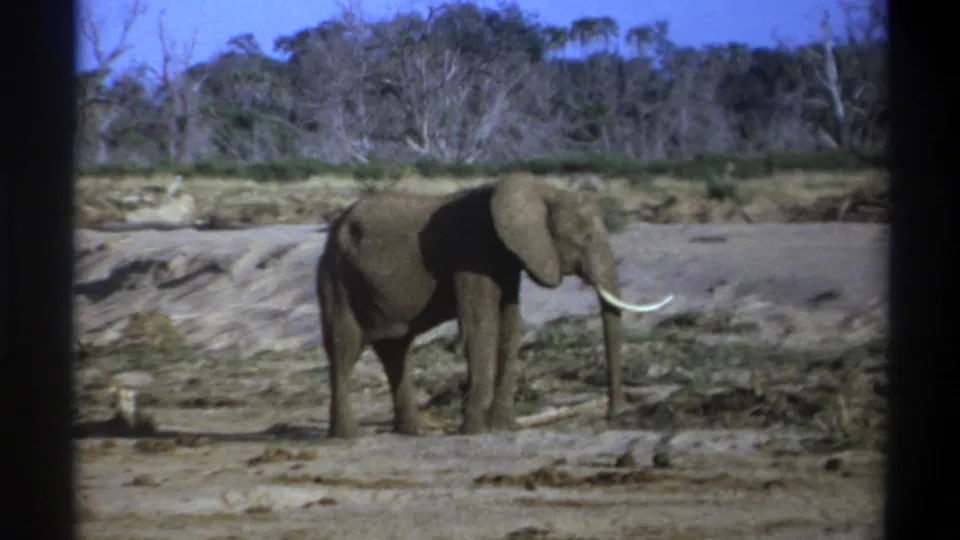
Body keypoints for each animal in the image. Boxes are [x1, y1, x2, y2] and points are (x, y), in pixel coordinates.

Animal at [315, 174, 674, 438]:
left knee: (395, 350)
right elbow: (480, 323)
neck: (542, 189)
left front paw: (504, 428)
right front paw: (474, 431)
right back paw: (347, 436)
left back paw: (412, 432)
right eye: (585, 239)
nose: (615, 414)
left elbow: (511, 323)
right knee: (344, 346)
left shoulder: (509, 258)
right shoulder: (471, 252)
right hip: (336, 276)